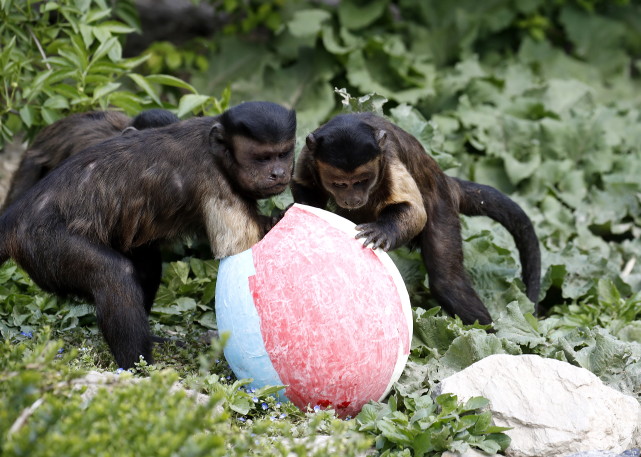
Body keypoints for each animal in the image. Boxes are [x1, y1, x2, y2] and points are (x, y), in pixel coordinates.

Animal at [292, 112, 540, 326]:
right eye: (340, 184)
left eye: (362, 181)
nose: (353, 199)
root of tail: (446, 181)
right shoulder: (307, 154)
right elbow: (302, 185)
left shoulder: (389, 160)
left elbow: (415, 211)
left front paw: (383, 231)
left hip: (442, 206)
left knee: (447, 282)